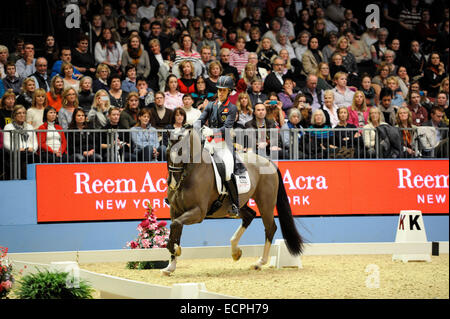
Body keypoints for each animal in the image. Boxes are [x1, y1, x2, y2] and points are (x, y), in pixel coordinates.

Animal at [161, 127, 302, 276]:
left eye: (182, 152)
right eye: (167, 152)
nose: (172, 183)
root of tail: (268, 161)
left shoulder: (198, 212)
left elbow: (175, 226)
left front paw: (174, 250)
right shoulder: (175, 210)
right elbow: (175, 229)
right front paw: (170, 266)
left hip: (266, 203)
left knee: (270, 227)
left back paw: (259, 263)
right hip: (240, 203)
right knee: (249, 216)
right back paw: (235, 251)